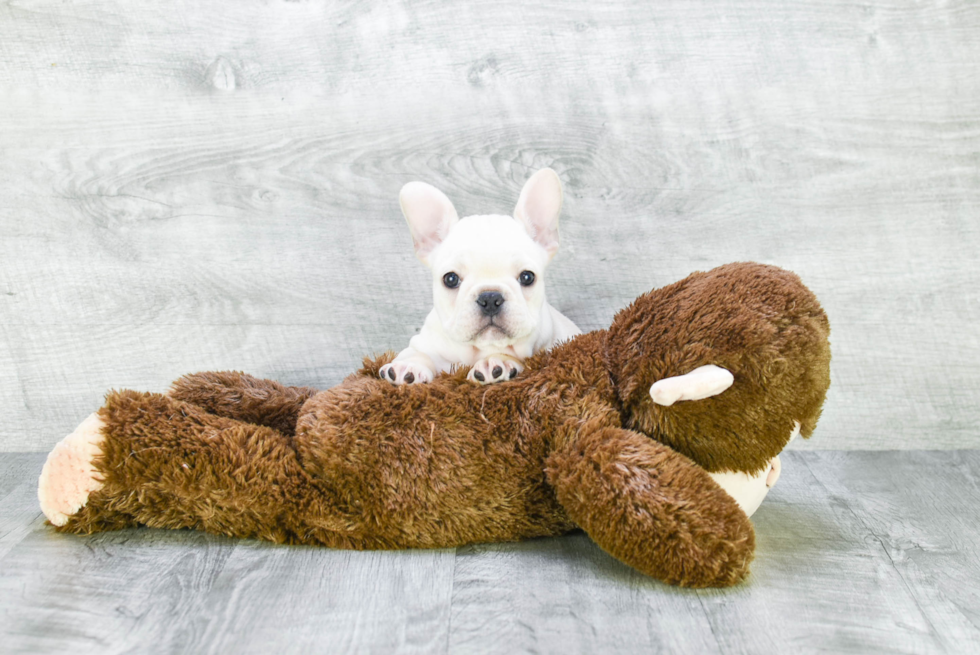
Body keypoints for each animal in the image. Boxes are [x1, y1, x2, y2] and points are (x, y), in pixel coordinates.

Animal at [380, 167, 580, 386]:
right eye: (450, 279)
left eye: (527, 277)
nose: (490, 298)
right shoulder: (426, 342)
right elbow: (418, 353)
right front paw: (408, 366)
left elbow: (508, 354)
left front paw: (495, 362)